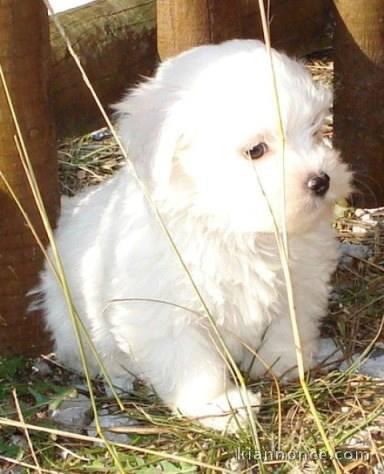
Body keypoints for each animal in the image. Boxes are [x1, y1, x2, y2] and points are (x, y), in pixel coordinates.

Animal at [36, 41, 352, 434]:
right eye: (256, 150)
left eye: (315, 131)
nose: (321, 180)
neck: (236, 229)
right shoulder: (166, 314)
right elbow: (193, 366)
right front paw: (220, 406)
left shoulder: (301, 281)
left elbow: (289, 324)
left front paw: (281, 362)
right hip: (69, 320)